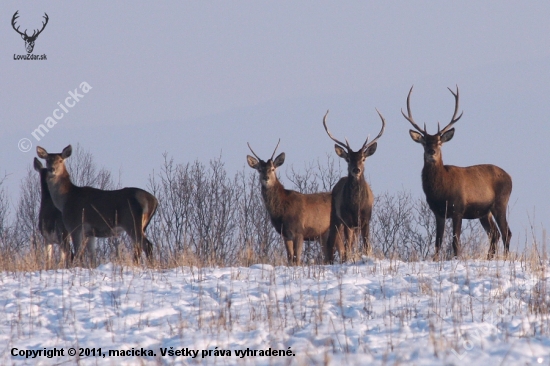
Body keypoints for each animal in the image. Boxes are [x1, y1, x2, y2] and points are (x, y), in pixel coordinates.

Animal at [324, 108, 388, 264]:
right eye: (348, 159)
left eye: (363, 158)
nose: (356, 170)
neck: (356, 205)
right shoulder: (347, 220)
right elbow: (347, 246)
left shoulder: (366, 219)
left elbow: (366, 246)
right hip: (335, 216)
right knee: (333, 241)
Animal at [404, 85, 516, 260]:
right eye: (424, 142)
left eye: (439, 142)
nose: (431, 152)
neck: (440, 191)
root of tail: (510, 177)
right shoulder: (438, 212)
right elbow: (438, 241)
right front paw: (436, 260)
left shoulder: (458, 208)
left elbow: (455, 241)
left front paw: (456, 259)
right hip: (485, 212)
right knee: (495, 234)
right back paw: (490, 258)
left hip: (501, 202)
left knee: (506, 233)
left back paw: (504, 259)